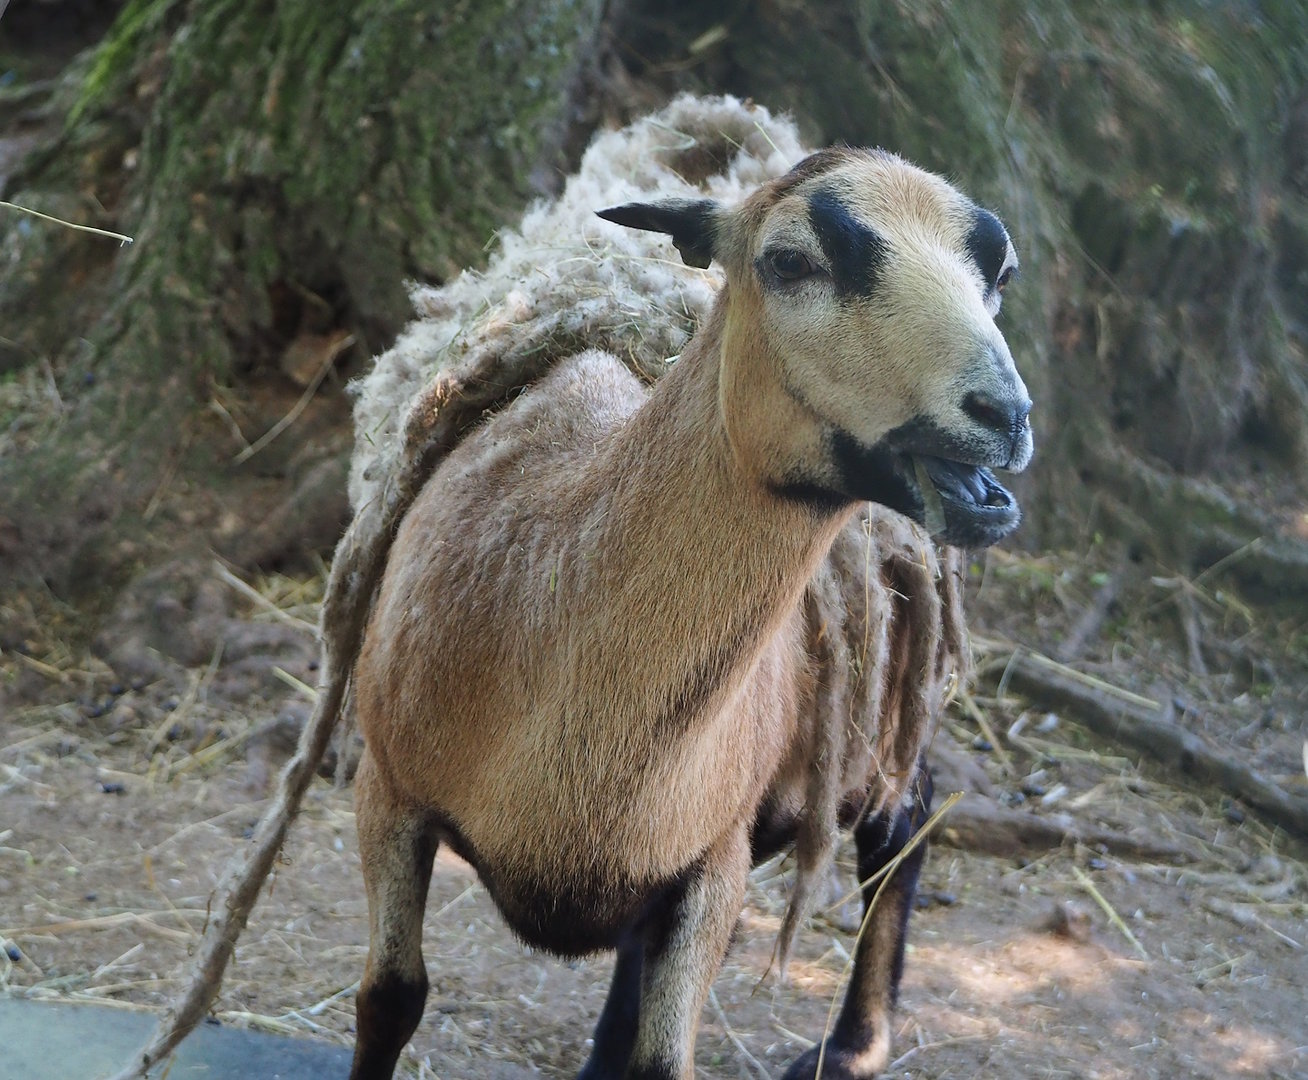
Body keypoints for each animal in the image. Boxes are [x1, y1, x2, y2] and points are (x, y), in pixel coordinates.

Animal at [345, 95, 1032, 1080]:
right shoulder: (388, 791)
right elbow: (390, 1000)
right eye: (790, 262)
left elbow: (666, 1062)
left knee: (904, 823)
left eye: (998, 275)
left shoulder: (716, 863)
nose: (1005, 415)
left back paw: (852, 1046)